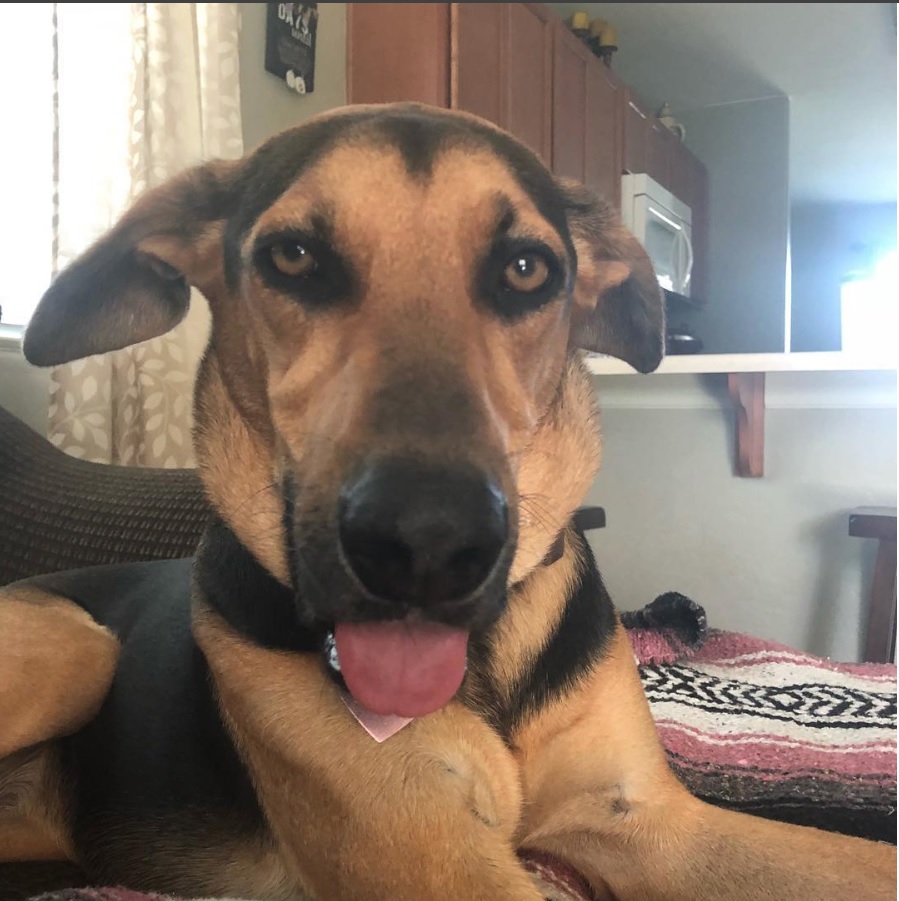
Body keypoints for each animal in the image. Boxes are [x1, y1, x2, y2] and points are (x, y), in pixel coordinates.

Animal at [0, 102, 896, 896]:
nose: (425, 545)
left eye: (527, 268)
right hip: (80, 647)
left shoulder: (645, 821)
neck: (485, 660)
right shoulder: (429, 847)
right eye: (292, 257)